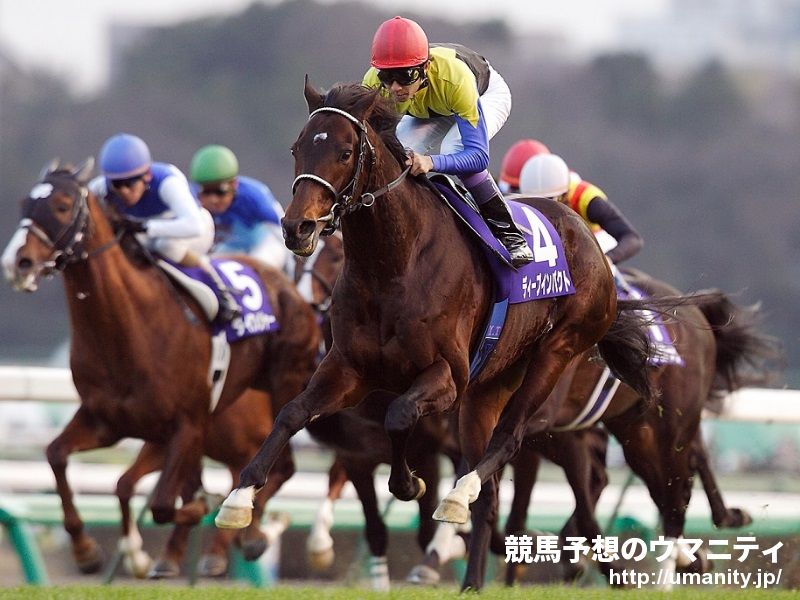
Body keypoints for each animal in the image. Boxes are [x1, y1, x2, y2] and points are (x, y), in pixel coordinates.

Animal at [1, 160, 320, 575]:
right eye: (26, 203)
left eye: (61, 205)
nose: (16, 263)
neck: (129, 329)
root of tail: (288, 287)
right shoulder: (106, 421)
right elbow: (57, 456)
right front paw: (86, 550)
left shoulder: (186, 426)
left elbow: (164, 504)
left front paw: (201, 515)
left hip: (282, 388)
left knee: (282, 467)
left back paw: (248, 534)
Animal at [214, 80, 685, 591]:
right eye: (298, 148)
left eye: (344, 152)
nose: (297, 227)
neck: (393, 263)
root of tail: (587, 237)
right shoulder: (350, 369)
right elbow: (291, 413)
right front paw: (238, 500)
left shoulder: (446, 376)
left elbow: (399, 417)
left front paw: (409, 484)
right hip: (489, 386)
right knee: (492, 488)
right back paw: (473, 578)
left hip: (556, 355)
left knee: (510, 442)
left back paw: (465, 500)